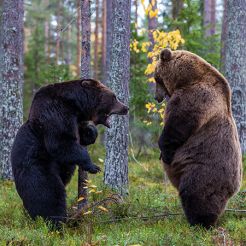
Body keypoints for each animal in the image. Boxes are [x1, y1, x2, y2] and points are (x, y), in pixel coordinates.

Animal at [11, 79, 129, 227]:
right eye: (114, 97)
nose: (126, 107)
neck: (75, 105)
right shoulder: (56, 113)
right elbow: (61, 143)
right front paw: (93, 167)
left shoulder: (76, 120)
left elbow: (81, 137)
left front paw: (90, 130)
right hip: (37, 169)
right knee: (48, 194)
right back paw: (56, 221)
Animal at [154, 48, 242, 229]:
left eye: (156, 77)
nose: (156, 97)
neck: (186, 79)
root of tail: (235, 187)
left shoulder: (197, 97)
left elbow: (178, 124)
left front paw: (165, 152)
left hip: (204, 169)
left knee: (196, 193)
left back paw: (200, 223)